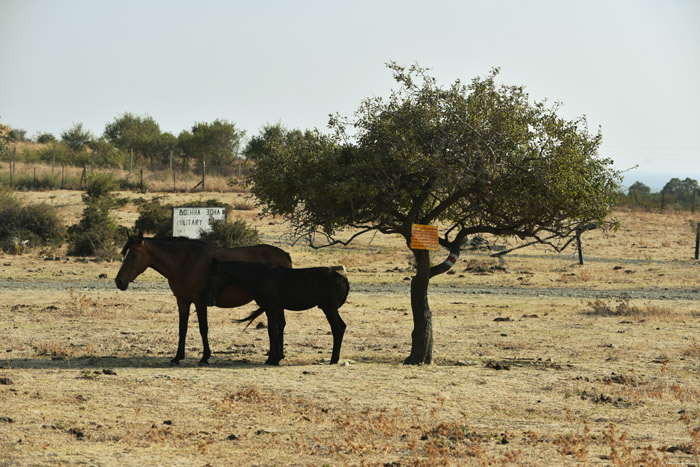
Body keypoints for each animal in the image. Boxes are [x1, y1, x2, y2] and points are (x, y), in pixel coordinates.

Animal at [115, 234, 290, 366]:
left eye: (133, 255)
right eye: (124, 253)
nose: (119, 281)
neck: (184, 262)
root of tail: (284, 255)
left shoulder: (200, 302)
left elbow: (203, 328)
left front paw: (205, 357)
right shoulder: (182, 301)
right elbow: (182, 329)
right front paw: (177, 357)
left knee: (276, 326)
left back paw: (273, 358)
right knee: (280, 325)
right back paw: (278, 356)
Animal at [206, 260, 350, 366]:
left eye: (212, 276)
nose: (209, 300)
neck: (259, 276)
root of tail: (343, 278)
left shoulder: (270, 308)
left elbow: (272, 330)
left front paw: (271, 359)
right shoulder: (278, 308)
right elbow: (280, 328)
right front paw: (278, 357)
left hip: (329, 309)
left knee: (337, 329)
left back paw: (333, 359)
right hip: (331, 309)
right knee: (342, 327)